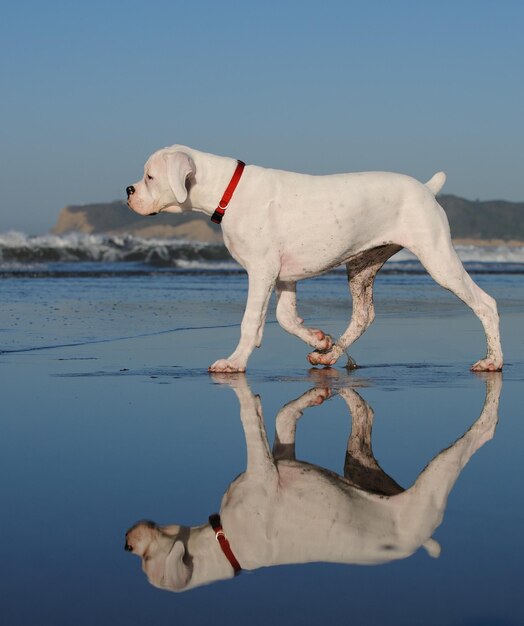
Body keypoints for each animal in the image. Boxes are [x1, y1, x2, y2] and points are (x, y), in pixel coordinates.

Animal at [125, 145, 502, 370]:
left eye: (149, 177)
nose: (128, 190)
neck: (229, 191)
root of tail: (426, 188)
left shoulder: (261, 271)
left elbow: (251, 321)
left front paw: (235, 362)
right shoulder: (283, 276)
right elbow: (285, 317)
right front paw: (319, 339)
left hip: (438, 260)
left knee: (485, 304)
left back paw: (493, 362)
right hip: (360, 267)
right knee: (363, 316)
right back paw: (332, 354)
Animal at [125, 372, 502, 592]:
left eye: (146, 562)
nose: (125, 543)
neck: (225, 543)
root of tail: (417, 543)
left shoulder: (263, 471)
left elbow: (251, 424)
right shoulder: (281, 458)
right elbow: (283, 418)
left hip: (434, 482)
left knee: (471, 442)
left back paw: (487, 424)